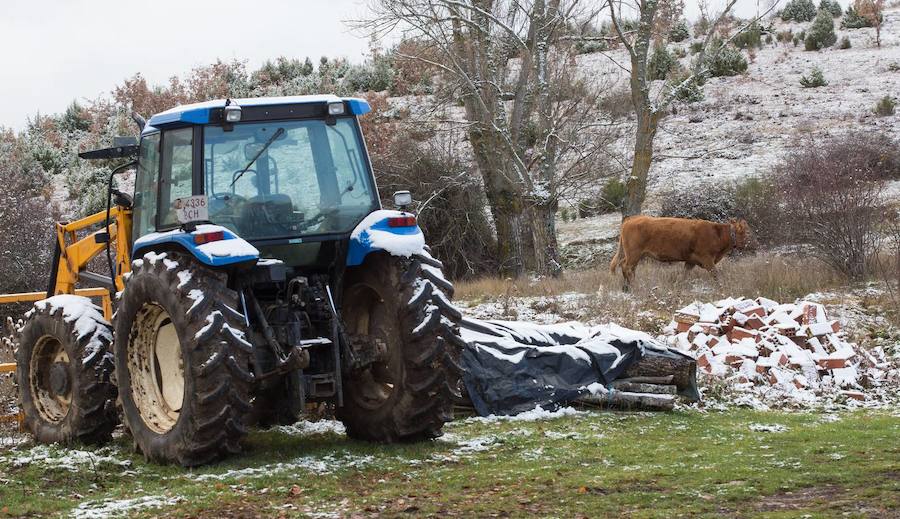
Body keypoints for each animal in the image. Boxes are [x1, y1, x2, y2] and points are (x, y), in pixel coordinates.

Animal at [608, 214, 748, 288]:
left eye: (746, 231)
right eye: (741, 232)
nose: (745, 244)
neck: (716, 233)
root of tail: (632, 218)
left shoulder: (691, 261)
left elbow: (684, 275)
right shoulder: (707, 258)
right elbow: (715, 274)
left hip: (635, 255)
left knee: (627, 267)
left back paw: (627, 286)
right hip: (634, 253)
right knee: (626, 267)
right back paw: (633, 285)